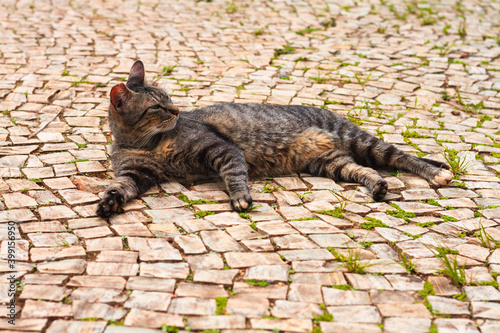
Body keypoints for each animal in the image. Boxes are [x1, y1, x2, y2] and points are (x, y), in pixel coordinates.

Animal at [95, 60, 456, 218]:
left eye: (169, 98)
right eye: (156, 106)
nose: (177, 110)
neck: (147, 144)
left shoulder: (219, 148)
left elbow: (234, 173)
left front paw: (240, 197)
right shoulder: (137, 174)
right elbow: (119, 187)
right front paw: (108, 202)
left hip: (363, 143)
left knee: (404, 157)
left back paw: (436, 174)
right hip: (331, 164)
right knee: (366, 171)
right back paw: (378, 186)